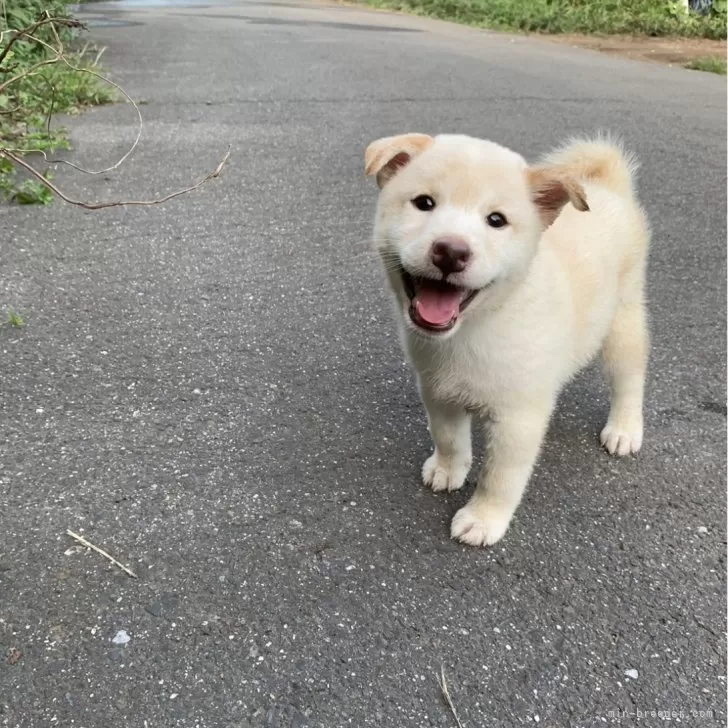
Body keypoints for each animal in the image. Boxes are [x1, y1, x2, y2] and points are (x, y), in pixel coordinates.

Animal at [366, 135, 652, 544]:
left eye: (496, 221)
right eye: (424, 203)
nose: (451, 252)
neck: (475, 328)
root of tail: (607, 185)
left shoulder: (518, 417)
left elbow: (500, 478)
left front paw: (483, 519)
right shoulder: (437, 390)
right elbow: (448, 437)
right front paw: (448, 469)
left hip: (622, 321)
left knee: (629, 377)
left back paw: (624, 429)